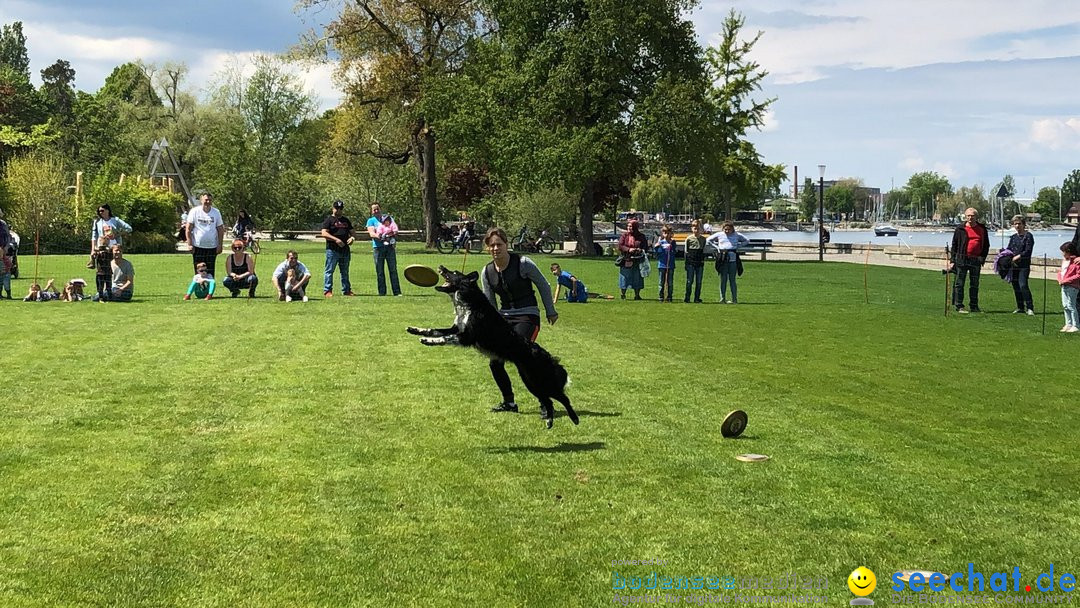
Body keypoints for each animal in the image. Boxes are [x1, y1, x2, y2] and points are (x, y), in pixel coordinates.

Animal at [406, 265, 578, 427]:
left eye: (454, 273)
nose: (441, 266)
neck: (468, 303)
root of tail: (549, 358)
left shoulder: (465, 337)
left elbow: (443, 338)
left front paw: (427, 341)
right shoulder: (455, 329)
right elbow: (433, 330)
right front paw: (415, 330)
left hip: (540, 381)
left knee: (563, 398)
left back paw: (574, 418)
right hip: (531, 382)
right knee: (548, 400)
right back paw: (549, 421)